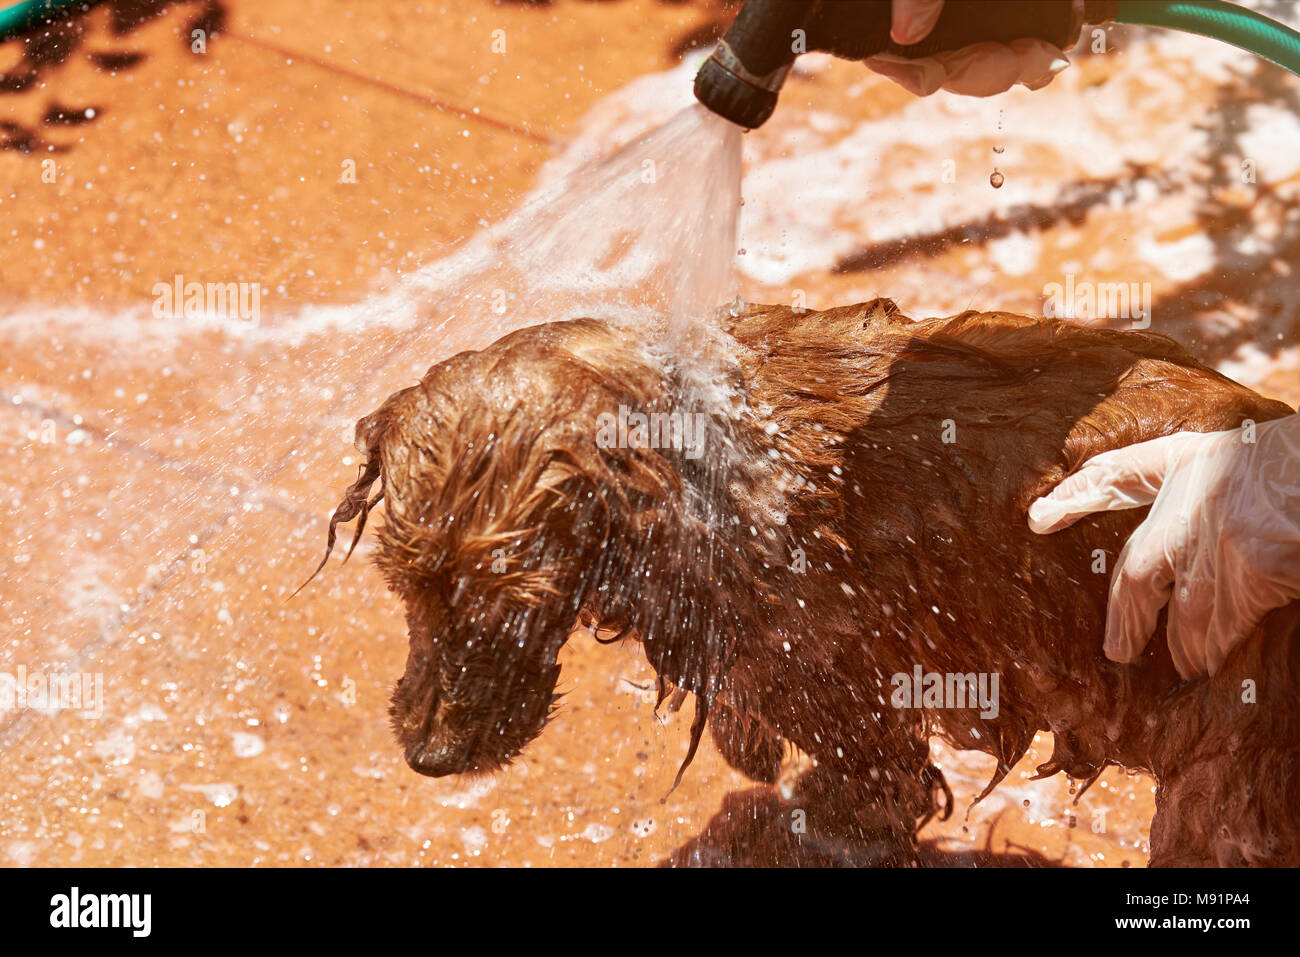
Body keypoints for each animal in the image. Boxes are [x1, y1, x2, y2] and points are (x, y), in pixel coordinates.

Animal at [317, 300, 1300, 868]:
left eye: (517, 607)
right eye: (406, 589)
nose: (429, 756)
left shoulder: (846, 712)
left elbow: (851, 807)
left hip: (1226, 786)